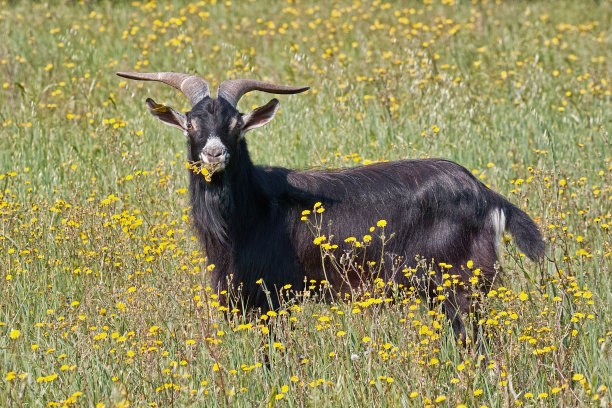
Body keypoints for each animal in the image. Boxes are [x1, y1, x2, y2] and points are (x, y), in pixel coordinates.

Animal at [117, 71, 544, 344]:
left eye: (236, 124)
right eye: (190, 124)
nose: (213, 154)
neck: (252, 211)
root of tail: (484, 193)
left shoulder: (275, 296)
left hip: (458, 282)